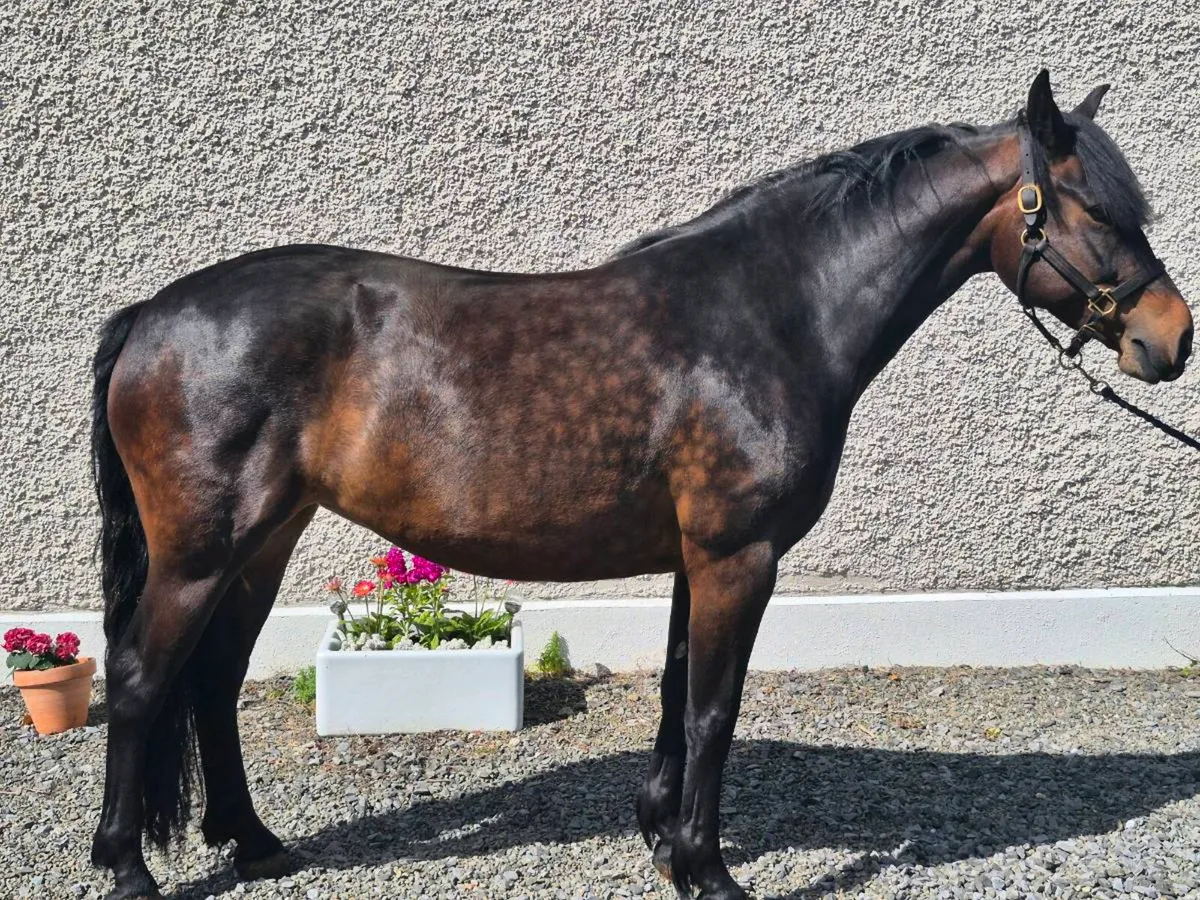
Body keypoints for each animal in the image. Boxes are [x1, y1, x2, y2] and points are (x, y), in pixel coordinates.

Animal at [89, 69, 1191, 900]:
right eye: (1098, 209)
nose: (1170, 340)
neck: (775, 312)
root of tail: (153, 314)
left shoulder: (694, 558)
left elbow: (675, 691)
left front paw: (662, 837)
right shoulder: (738, 555)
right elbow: (713, 709)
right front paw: (708, 870)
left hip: (261, 542)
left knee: (214, 681)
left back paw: (255, 842)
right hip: (200, 553)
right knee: (142, 680)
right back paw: (130, 868)